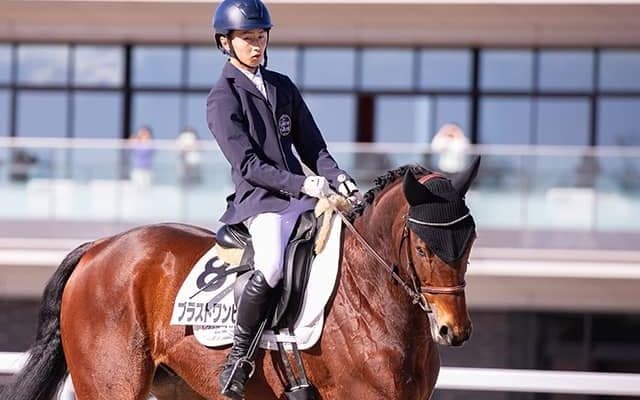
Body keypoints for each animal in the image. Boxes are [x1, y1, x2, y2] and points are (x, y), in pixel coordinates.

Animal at [1, 159, 480, 400]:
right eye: (424, 248)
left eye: (471, 240)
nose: (452, 331)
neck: (371, 297)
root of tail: (98, 248)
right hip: (112, 386)